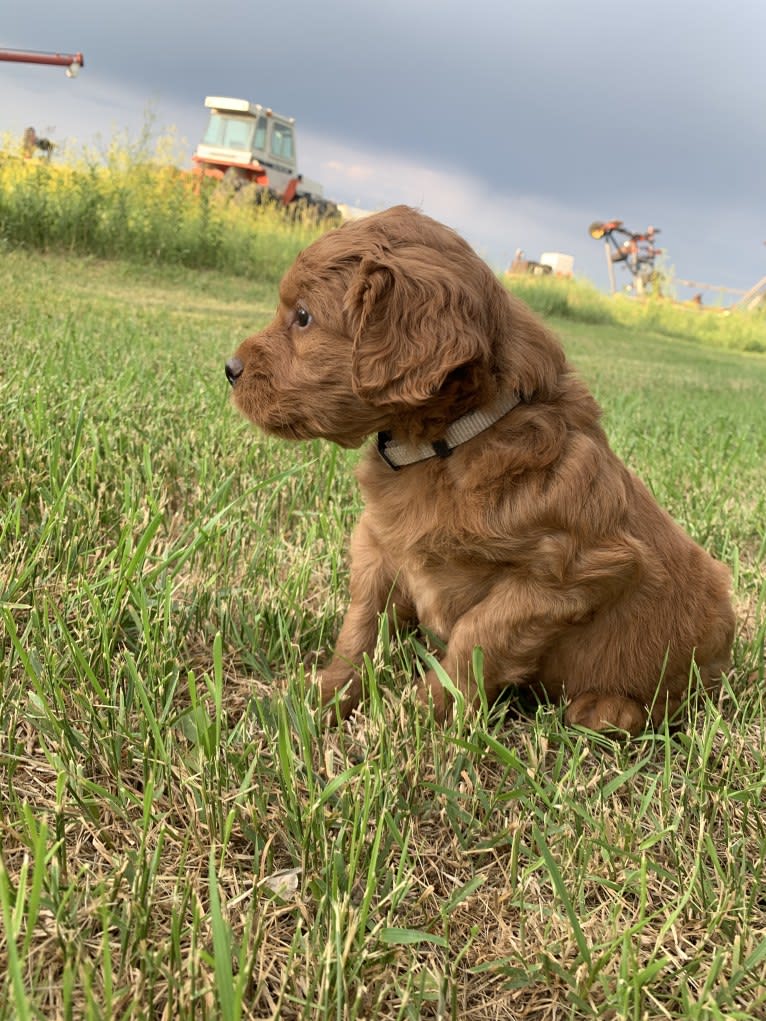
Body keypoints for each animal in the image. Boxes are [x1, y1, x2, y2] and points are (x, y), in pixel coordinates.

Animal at [226, 205, 739, 735]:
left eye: (303, 317)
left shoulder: (571, 572)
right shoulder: (378, 547)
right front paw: (319, 698)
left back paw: (606, 709)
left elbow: (478, 635)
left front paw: (416, 716)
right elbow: (360, 627)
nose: (230, 368)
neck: (446, 444)